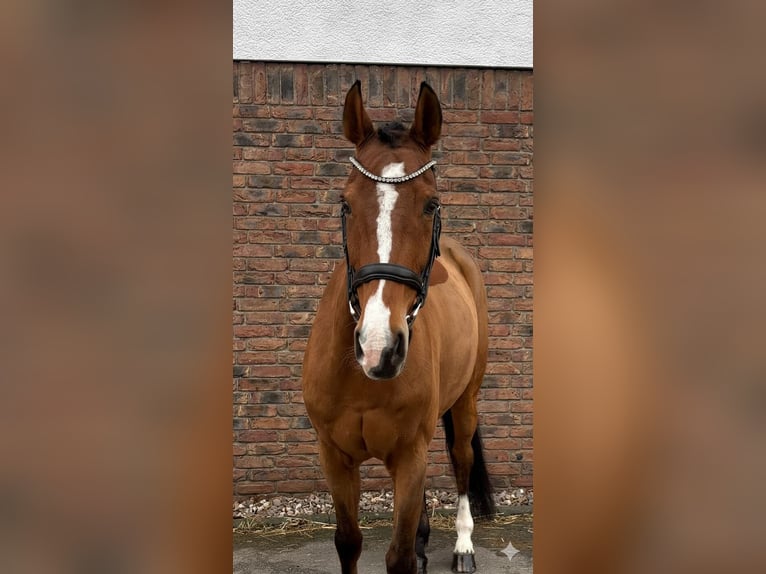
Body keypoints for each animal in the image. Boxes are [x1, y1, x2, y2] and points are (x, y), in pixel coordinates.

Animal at [302, 80, 495, 574]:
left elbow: (400, 557)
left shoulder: (410, 455)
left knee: (462, 462)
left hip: (464, 403)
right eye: (345, 203)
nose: (380, 348)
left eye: (431, 204)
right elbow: (349, 542)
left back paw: (463, 547)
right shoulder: (335, 457)